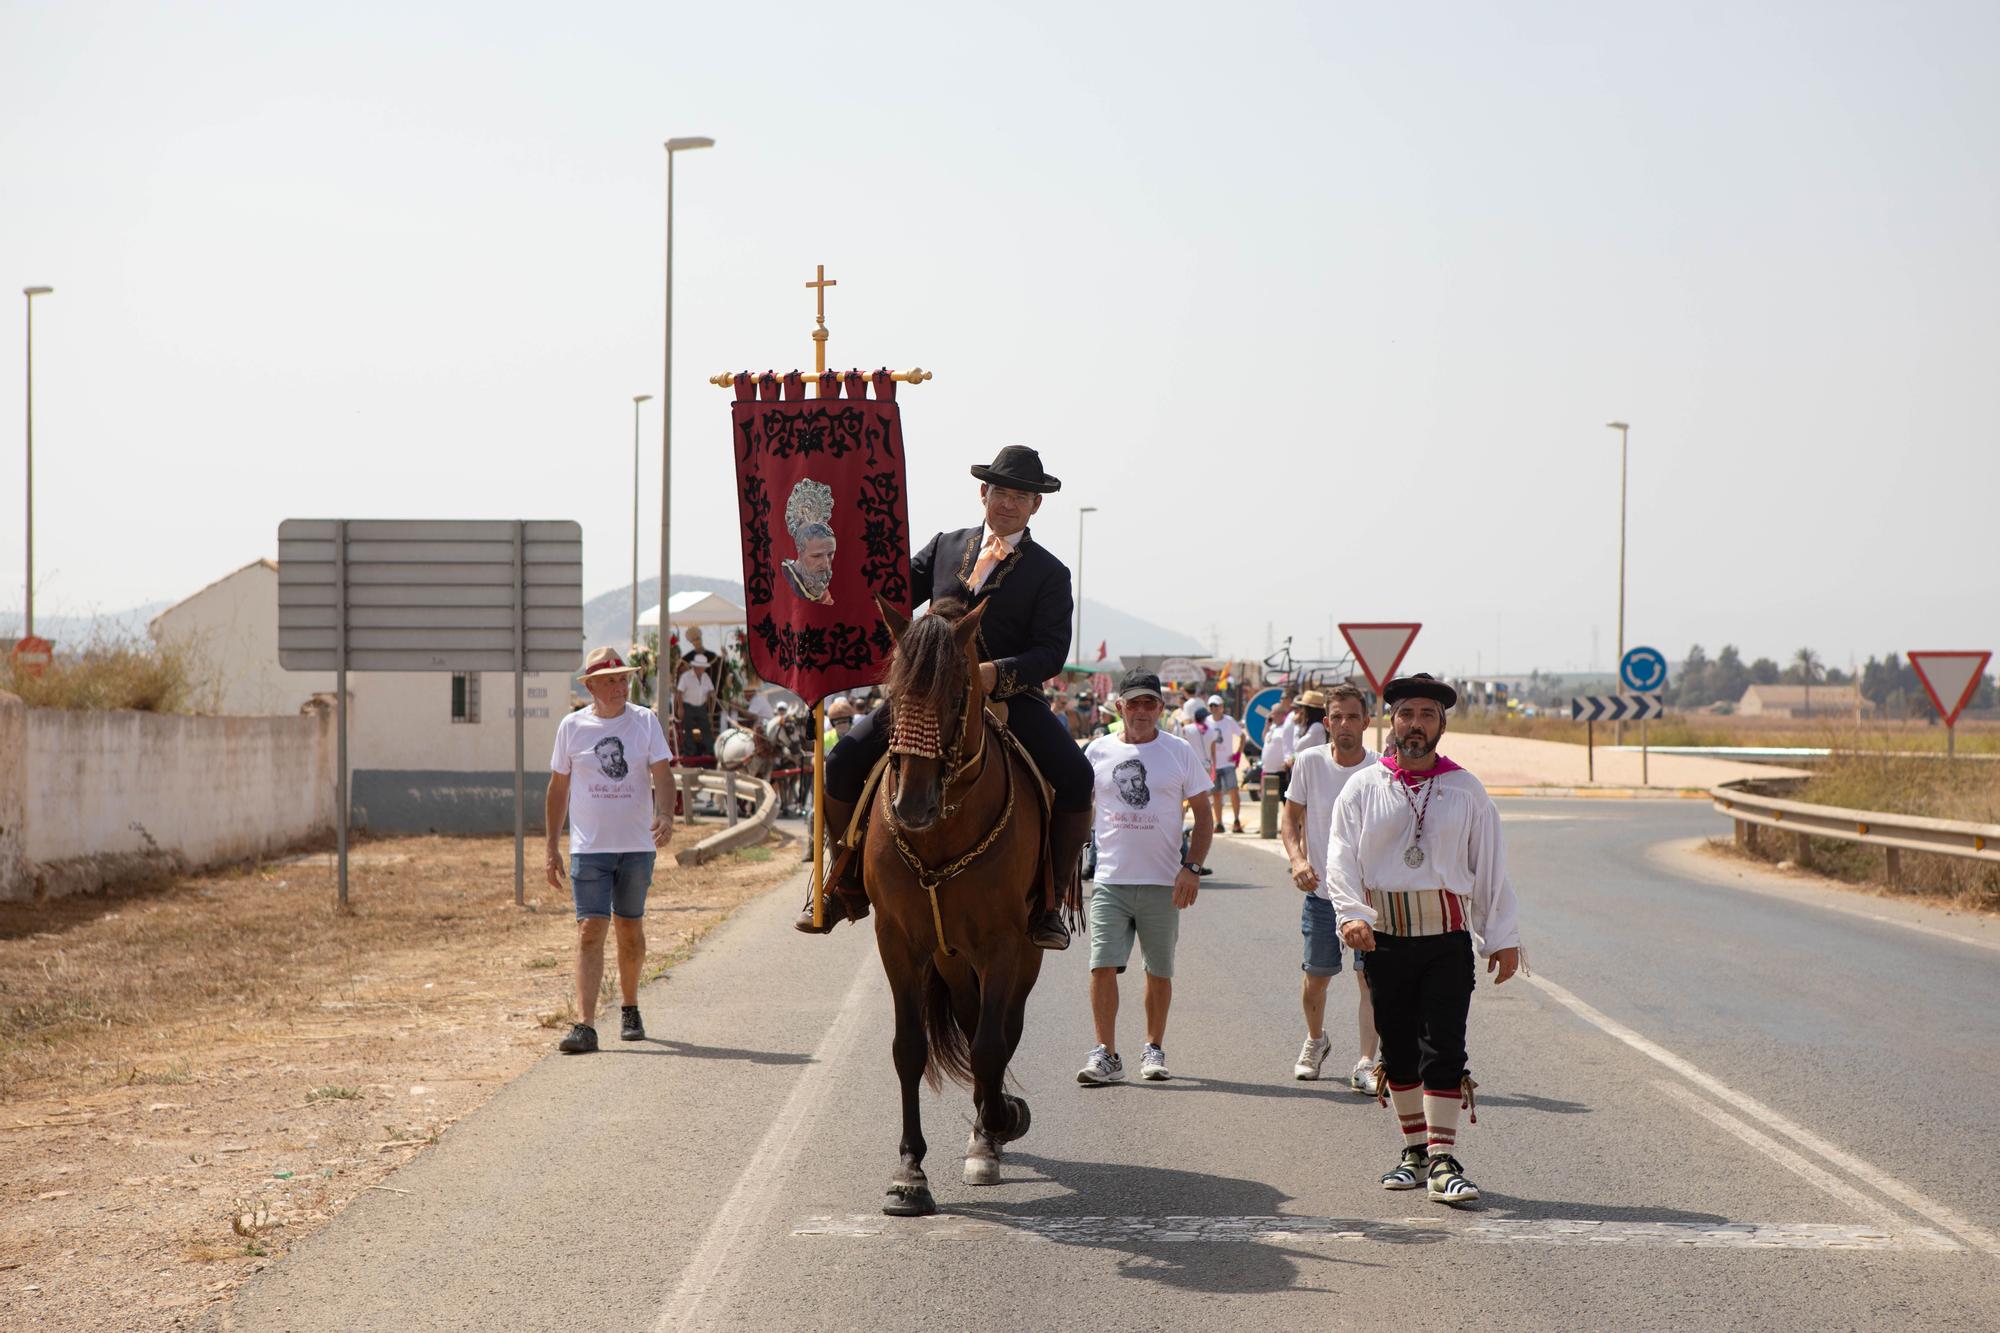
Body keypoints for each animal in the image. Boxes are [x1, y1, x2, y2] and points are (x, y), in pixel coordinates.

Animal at [864, 596, 1048, 1208]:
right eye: (893, 693)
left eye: (954, 694)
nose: (911, 805)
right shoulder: (898, 941)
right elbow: (908, 1049)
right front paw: (908, 1173)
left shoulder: (1004, 944)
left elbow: (992, 1046)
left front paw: (997, 1127)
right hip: (949, 958)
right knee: (971, 1021)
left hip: (1023, 955)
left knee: (1003, 1028)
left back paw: (992, 1126)